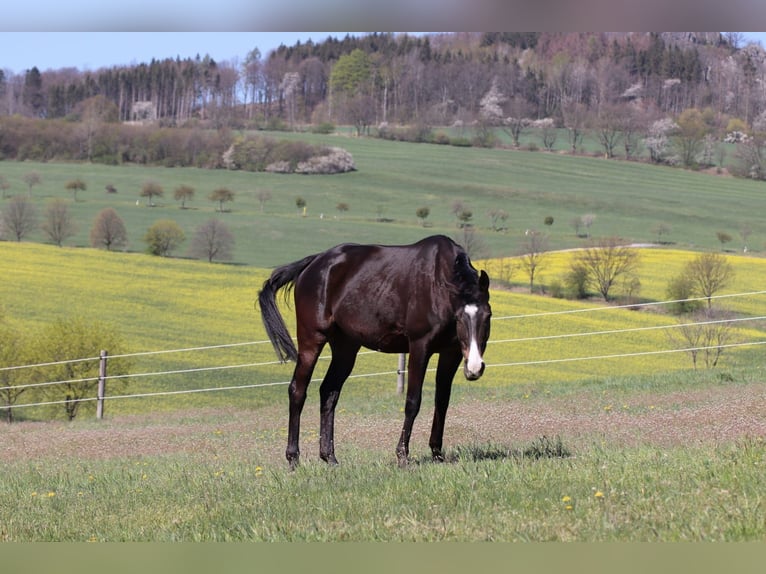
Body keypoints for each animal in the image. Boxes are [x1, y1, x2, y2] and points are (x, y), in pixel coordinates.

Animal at [257, 235, 491, 468]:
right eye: (460, 317)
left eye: (487, 316)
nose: (474, 368)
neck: (439, 286)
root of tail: (313, 264)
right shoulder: (419, 347)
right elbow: (413, 401)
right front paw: (402, 455)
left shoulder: (451, 352)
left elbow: (442, 401)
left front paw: (437, 453)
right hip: (311, 339)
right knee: (297, 390)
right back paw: (293, 458)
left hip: (346, 348)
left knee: (329, 392)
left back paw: (329, 457)